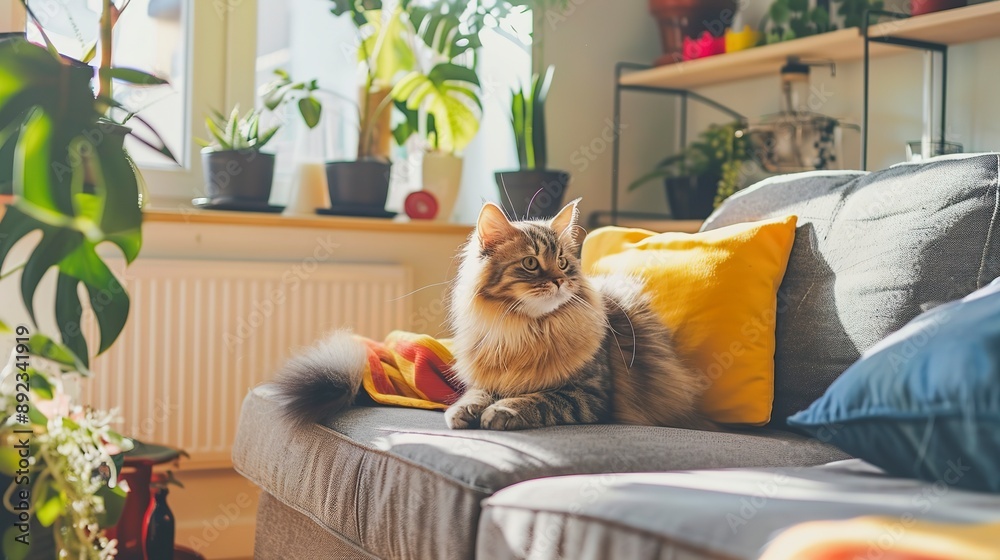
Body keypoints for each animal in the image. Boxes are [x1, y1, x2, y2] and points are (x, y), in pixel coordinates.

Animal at [272, 199, 712, 430]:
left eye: (564, 263)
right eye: (531, 264)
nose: (559, 281)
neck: (527, 330)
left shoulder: (591, 395)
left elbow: (541, 398)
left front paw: (501, 412)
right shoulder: (488, 375)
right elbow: (477, 393)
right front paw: (464, 411)